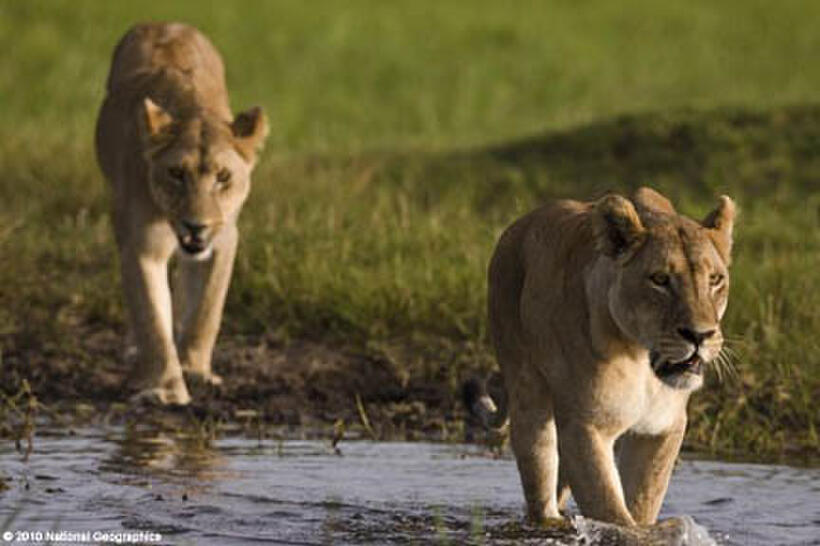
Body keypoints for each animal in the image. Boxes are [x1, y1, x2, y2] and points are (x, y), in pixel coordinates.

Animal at [95, 23, 268, 404]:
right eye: (176, 173)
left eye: (223, 177)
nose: (196, 226)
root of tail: (162, 22)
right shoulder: (142, 245)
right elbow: (151, 319)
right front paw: (166, 389)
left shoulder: (224, 239)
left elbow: (207, 310)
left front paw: (194, 370)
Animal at [483, 187, 735, 526]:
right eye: (660, 280)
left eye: (715, 280)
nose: (700, 336)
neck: (641, 359)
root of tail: (516, 226)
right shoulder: (586, 426)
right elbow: (612, 513)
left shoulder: (665, 427)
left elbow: (642, 503)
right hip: (527, 392)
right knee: (540, 480)